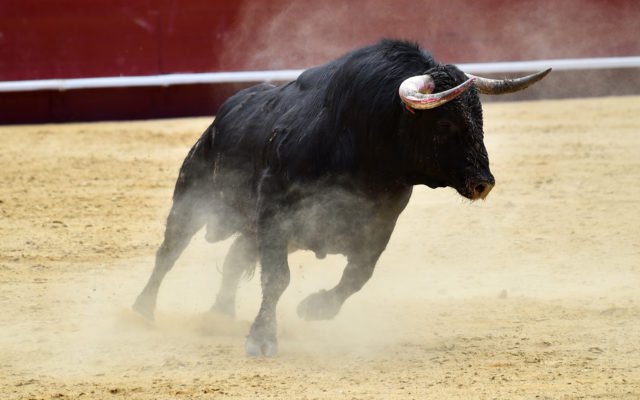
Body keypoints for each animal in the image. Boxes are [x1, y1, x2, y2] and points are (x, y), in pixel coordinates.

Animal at [133, 39, 550, 356]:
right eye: (445, 123)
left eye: (479, 120)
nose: (484, 183)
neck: (364, 145)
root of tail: (221, 116)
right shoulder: (276, 214)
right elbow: (278, 278)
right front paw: (262, 339)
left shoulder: (379, 224)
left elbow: (357, 276)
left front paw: (315, 308)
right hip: (192, 197)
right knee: (169, 252)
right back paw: (142, 310)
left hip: (251, 228)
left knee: (234, 259)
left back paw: (218, 314)